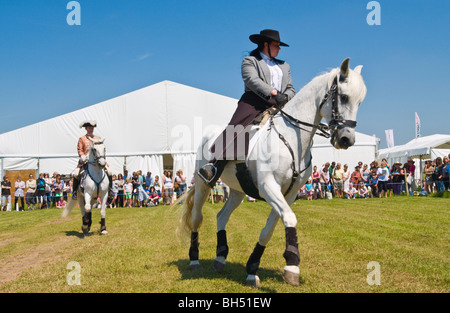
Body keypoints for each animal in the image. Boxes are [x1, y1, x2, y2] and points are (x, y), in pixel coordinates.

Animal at [178, 57, 368, 286]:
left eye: (360, 102)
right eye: (344, 97)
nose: (346, 140)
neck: (292, 139)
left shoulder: (289, 193)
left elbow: (268, 230)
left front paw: (253, 269)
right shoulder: (269, 186)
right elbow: (290, 219)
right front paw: (292, 266)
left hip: (238, 191)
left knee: (222, 216)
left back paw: (220, 258)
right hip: (203, 184)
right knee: (196, 217)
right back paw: (194, 260)